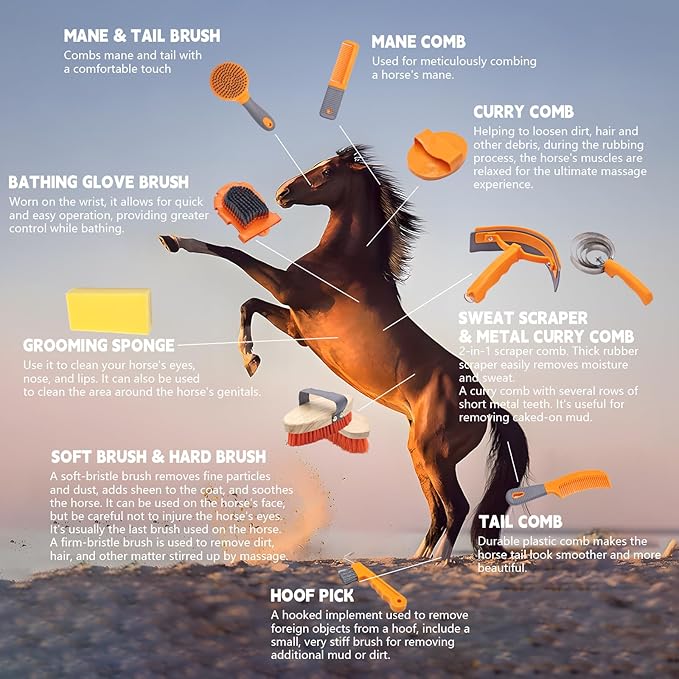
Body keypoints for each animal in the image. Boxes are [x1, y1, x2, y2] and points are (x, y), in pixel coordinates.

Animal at [159, 145, 529, 560]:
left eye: (328, 170)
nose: (283, 193)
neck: (347, 261)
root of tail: (489, 403)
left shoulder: (288, 289)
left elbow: (232, 253)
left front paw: (173, 240)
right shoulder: (298, 326)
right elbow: (248, 304)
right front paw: (250, 359)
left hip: (434, 453)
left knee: (456, 507)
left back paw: (436, 564)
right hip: (420, 453)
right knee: (437, 511)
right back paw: (415, 560)